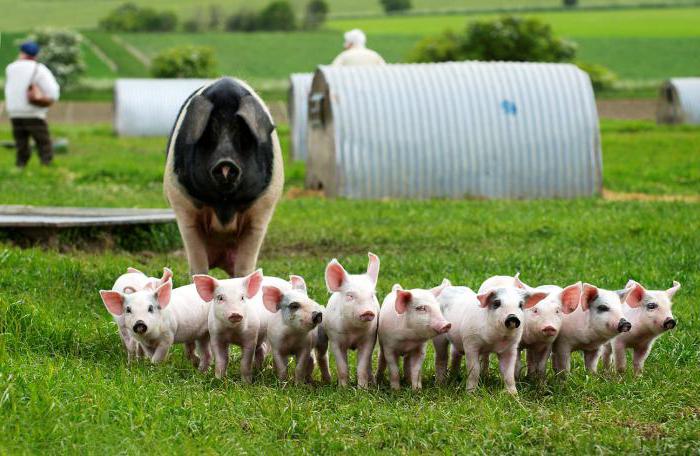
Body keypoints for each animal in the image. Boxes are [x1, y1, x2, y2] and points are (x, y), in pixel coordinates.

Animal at [164, 77, 283, 278]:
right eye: (209, 133)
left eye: (242, 133)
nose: (225, 162)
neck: (225, 206)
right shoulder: (183, 205)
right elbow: (198, 266)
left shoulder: (262, 209)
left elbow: (245, 268)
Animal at [317, 253, 381, 388]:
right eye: (350, 296)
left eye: (372, 295)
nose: (368, 312)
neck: (353, 331)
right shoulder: (335, 340)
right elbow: (342, 367)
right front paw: (343, 388)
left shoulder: (369, 339)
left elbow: (362, 367)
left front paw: (363, 389)